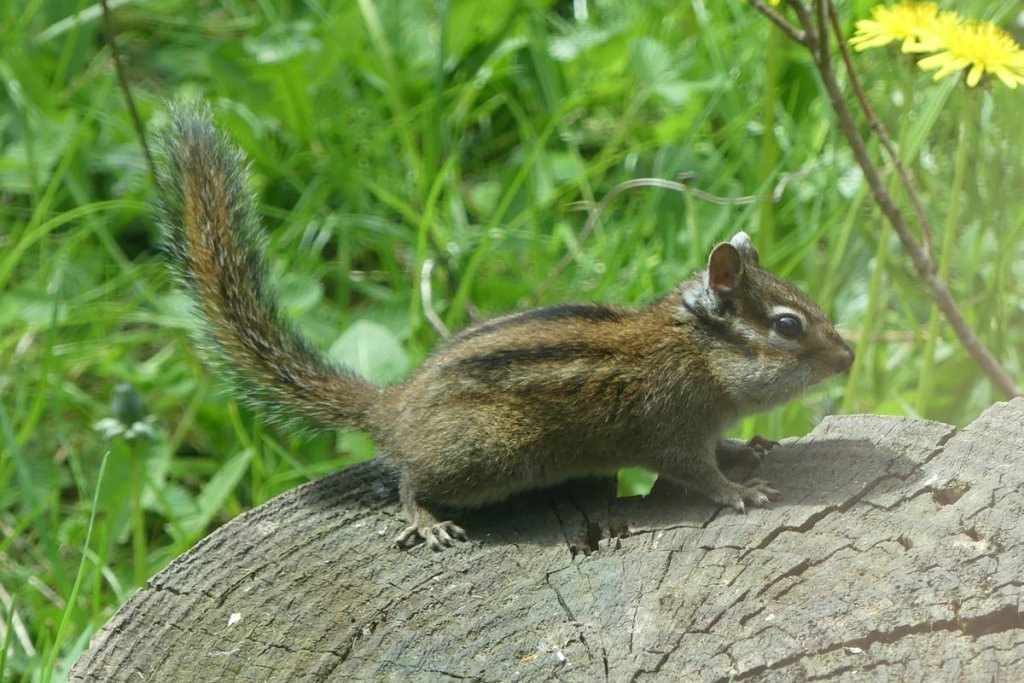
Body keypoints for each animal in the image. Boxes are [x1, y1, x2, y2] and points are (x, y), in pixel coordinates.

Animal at [155, 102, 855, 552]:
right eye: (788, 326)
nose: (847, 358)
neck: (696, 353)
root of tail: (397, 407)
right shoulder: (671, 429)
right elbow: (698, 474)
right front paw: (741, 491)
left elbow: (721, 446)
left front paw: (748, 446)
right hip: (488, 456)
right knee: (407, 477)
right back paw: (427, 519)